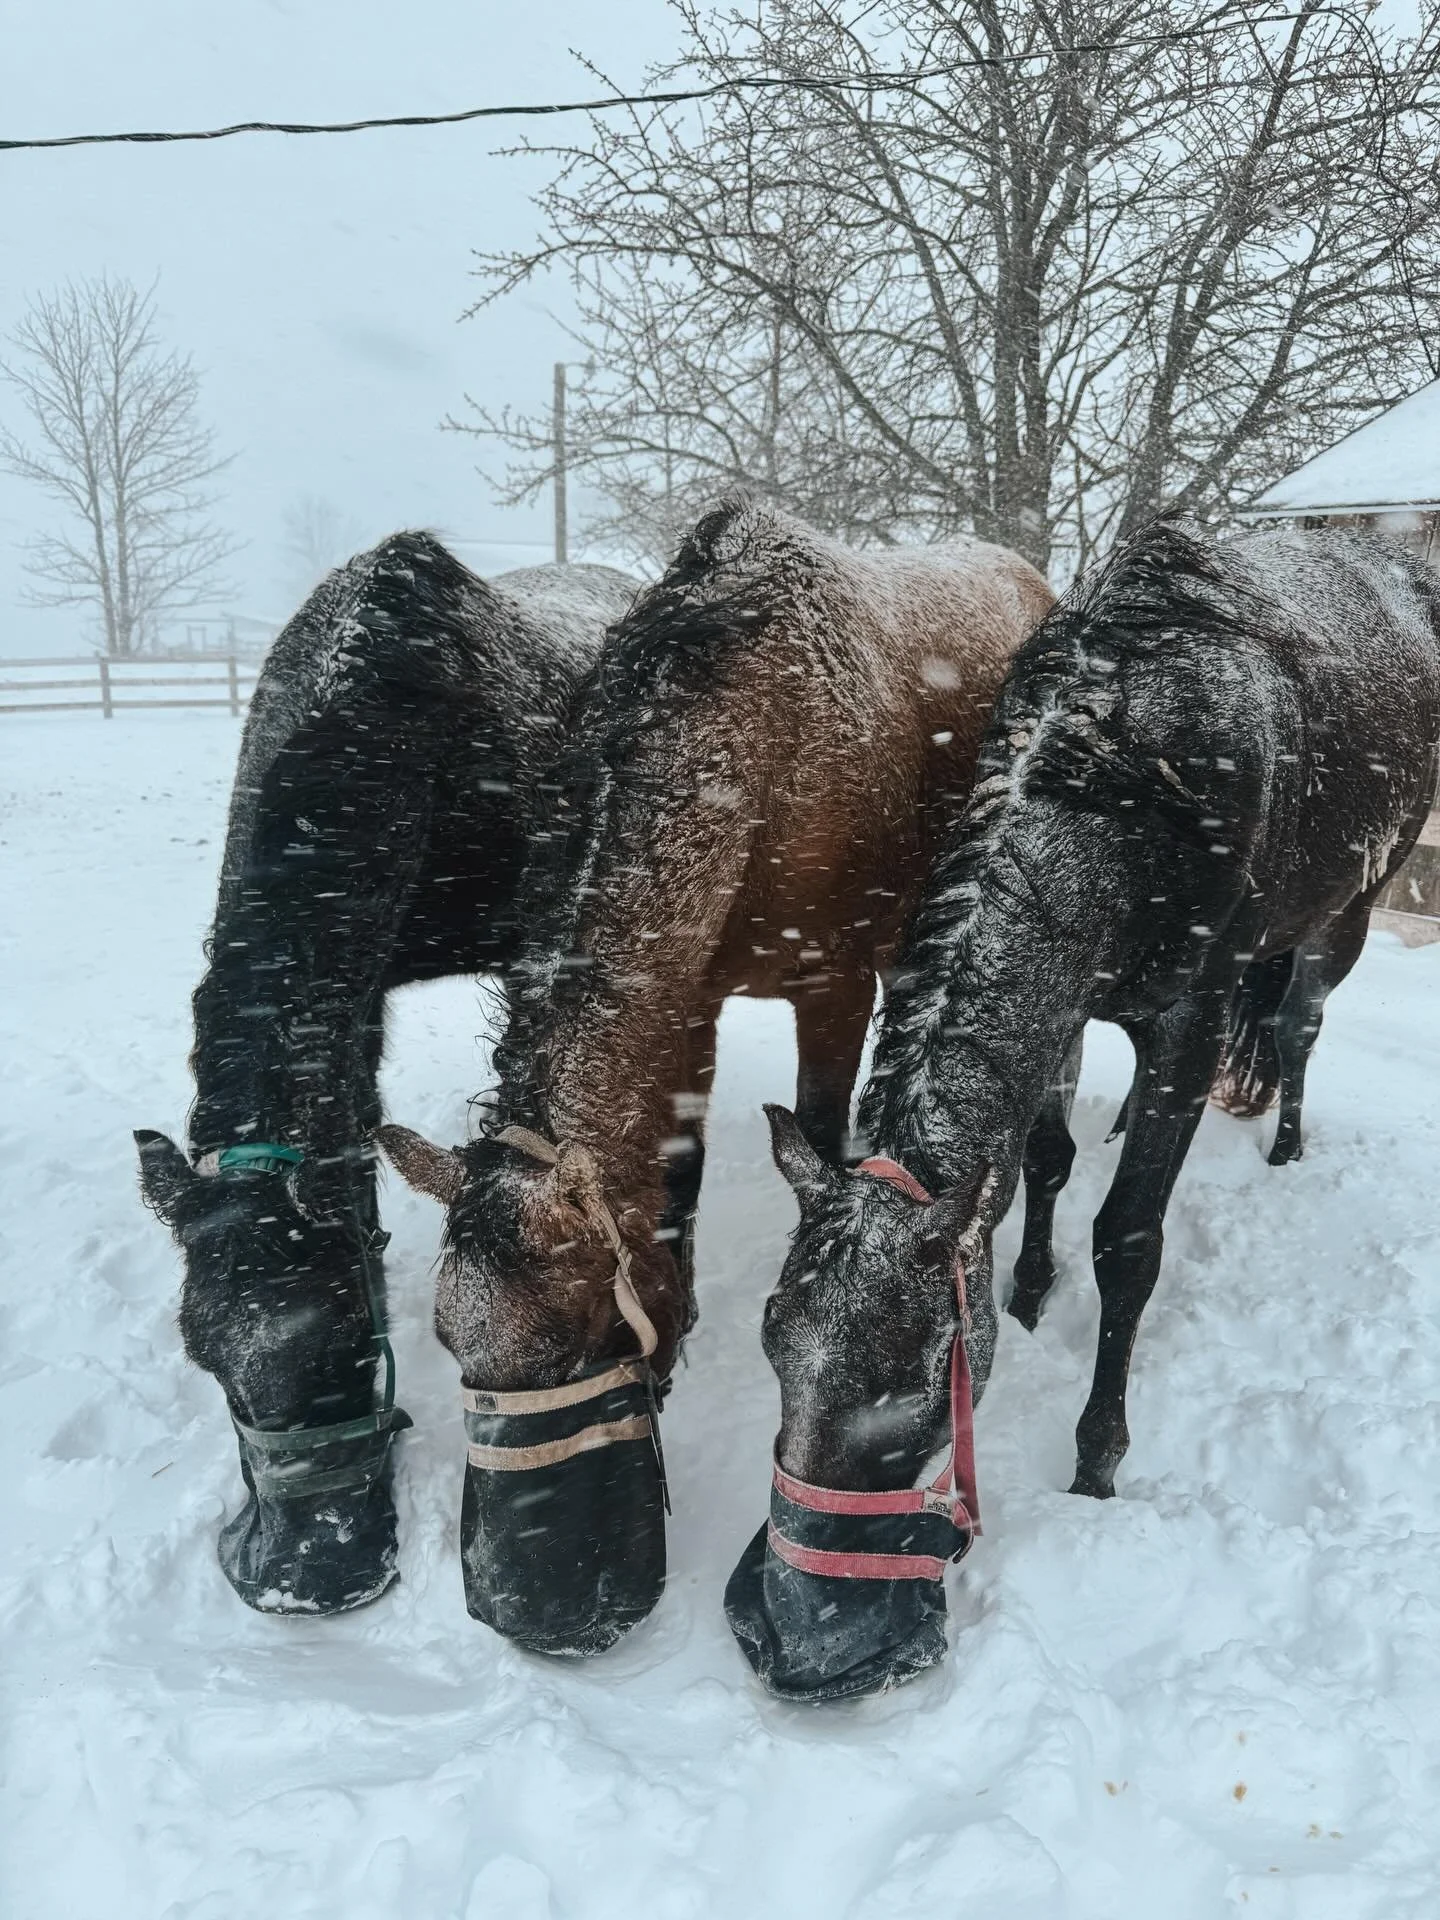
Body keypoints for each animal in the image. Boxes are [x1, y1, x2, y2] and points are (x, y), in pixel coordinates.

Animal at [379, 494, 1056, 1654]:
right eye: (446, 1343)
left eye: (583, 1339)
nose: (532, 1607)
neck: (756, 748)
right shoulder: (689, 999)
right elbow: (676, 1177)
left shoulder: (835, 986)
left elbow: (824, 1142)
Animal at [729, 520, 1440, 1701]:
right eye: (772, 1346)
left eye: (915, 1392)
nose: (803, 1636)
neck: (1124, 785)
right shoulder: (1063, 1003)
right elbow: (1044, 1158)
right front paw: (1027, 1283)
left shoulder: (1188, 1027)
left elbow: (1130, 1240)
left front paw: (1097, 1456)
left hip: (1349, 906)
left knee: (1296, 1027)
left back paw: (1287, 1145)